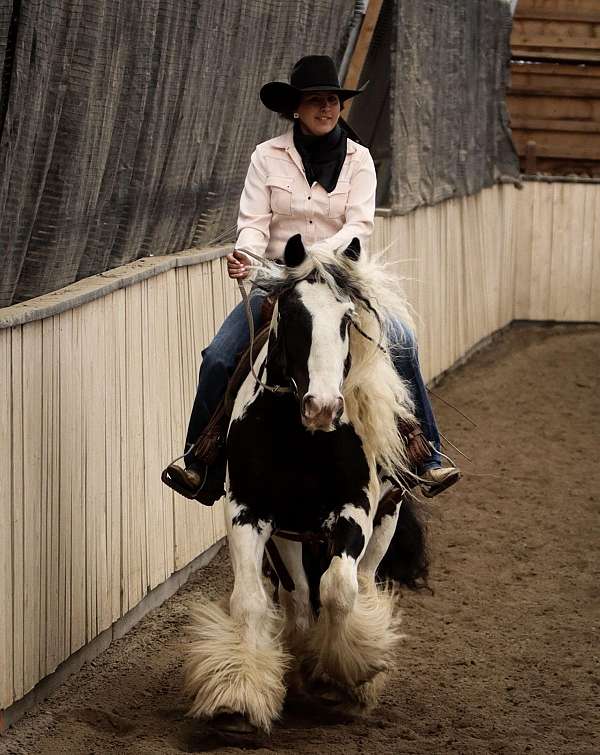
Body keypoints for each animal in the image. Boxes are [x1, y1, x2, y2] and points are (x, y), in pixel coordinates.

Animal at [183, 235, 426, 732]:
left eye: (348, 319)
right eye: (292, 315)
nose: (323, 407)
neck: (301, 437)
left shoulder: (355, 512)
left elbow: (339, 590)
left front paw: (345, 675)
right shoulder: (249, 511)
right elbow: (250, 601)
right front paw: (238, 697)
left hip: (386, 518)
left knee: (363, 584)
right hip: (290, 534)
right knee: (295, 598)